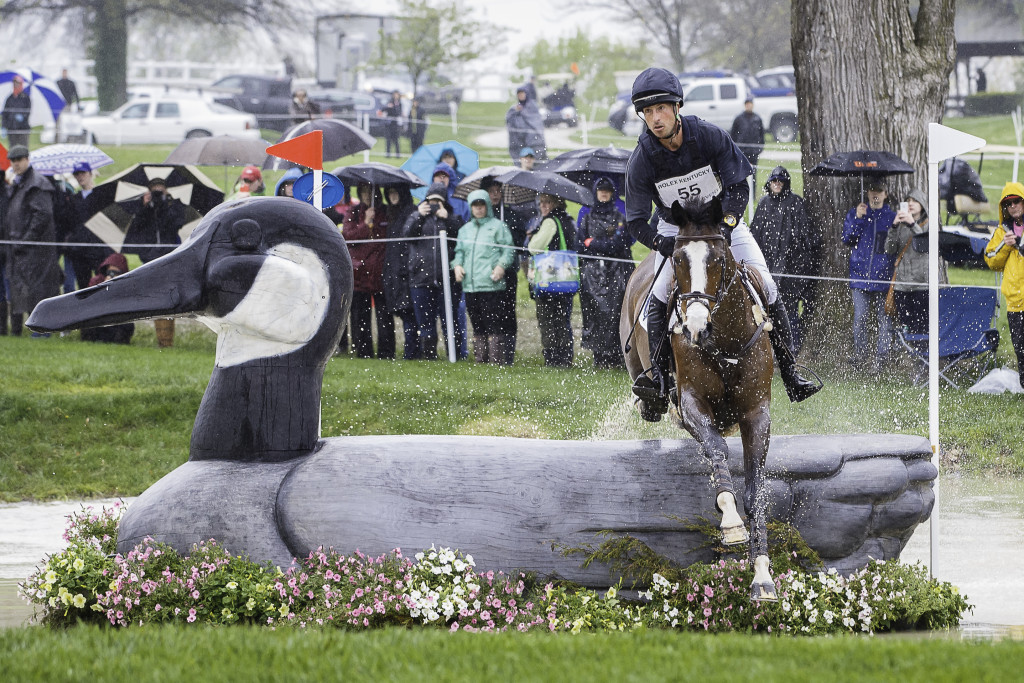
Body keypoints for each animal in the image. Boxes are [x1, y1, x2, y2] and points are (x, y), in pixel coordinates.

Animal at [618, 197, 778, 602]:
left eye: (719, 260)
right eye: (677, 260)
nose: (693, 326)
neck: (725, 339)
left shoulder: (757, 414)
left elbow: (756, 491)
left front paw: (762, 575)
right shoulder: (692, 405)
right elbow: (717, 451)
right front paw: (732, 521)